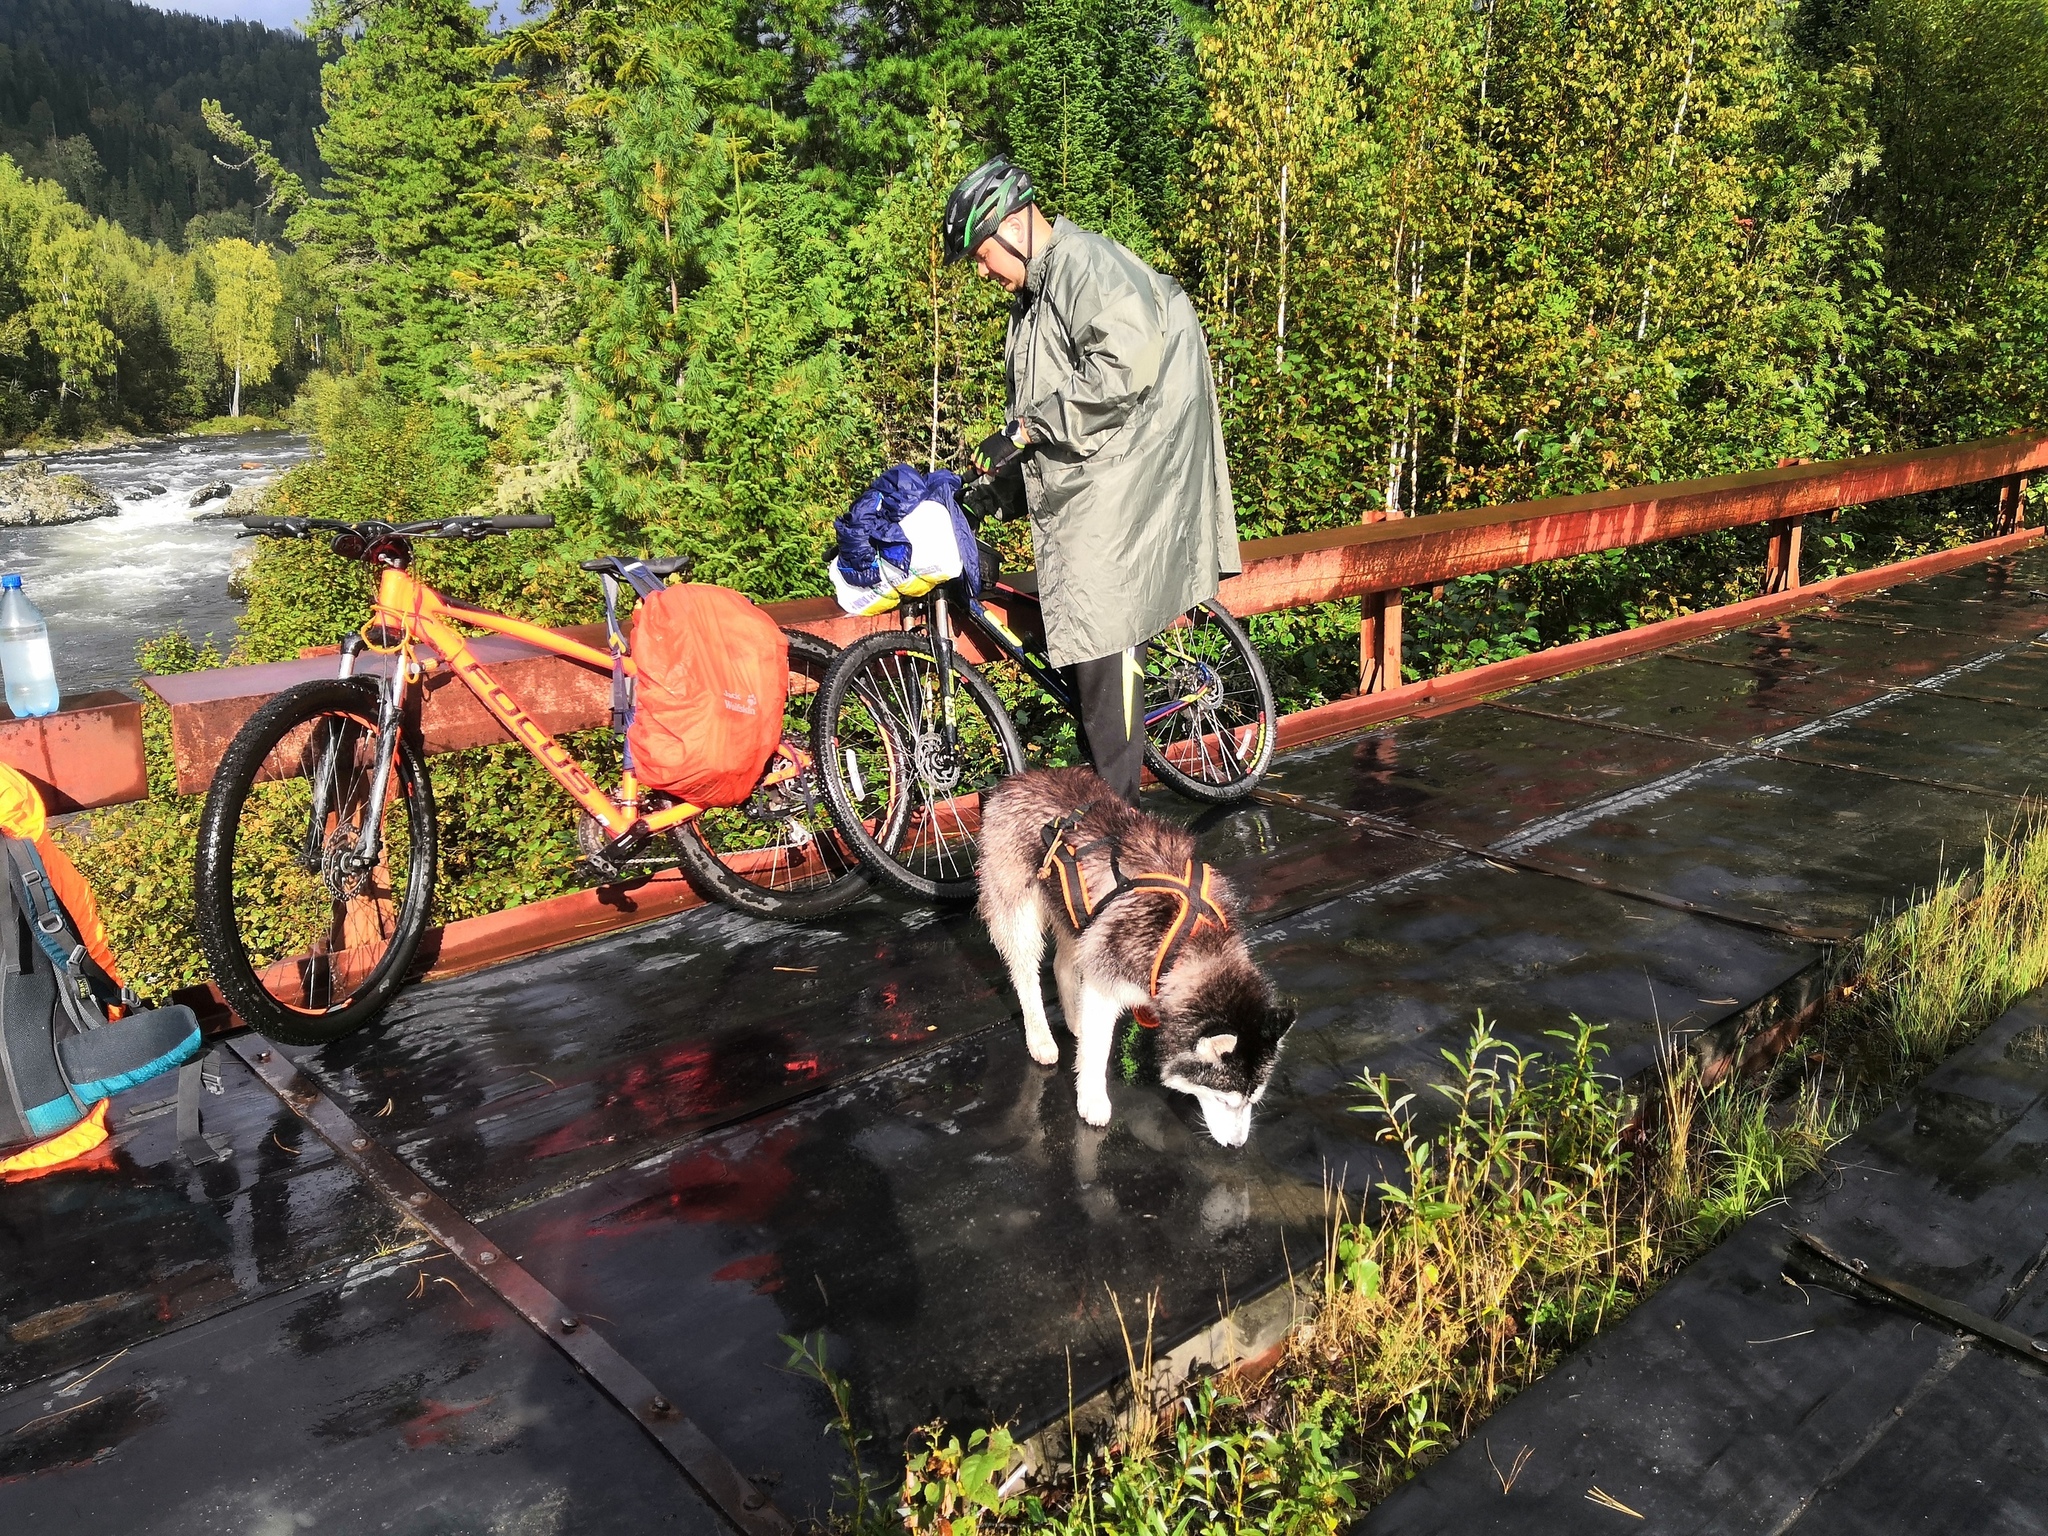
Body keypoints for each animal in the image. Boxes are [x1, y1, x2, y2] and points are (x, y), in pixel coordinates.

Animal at [978, 765, 1294, 1146]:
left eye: (1252, 1099)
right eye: (1223, 1099)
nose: (1237, 1145)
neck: (1192, 940)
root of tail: (1022, 777)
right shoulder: (1106, 979)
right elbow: (1098, 1048)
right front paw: (1092, 1100)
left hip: (1080, 919)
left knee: (1062, 964)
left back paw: (1074, 1019)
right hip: (1020, 911)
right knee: (1026, 974)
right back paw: (1040, 1037)